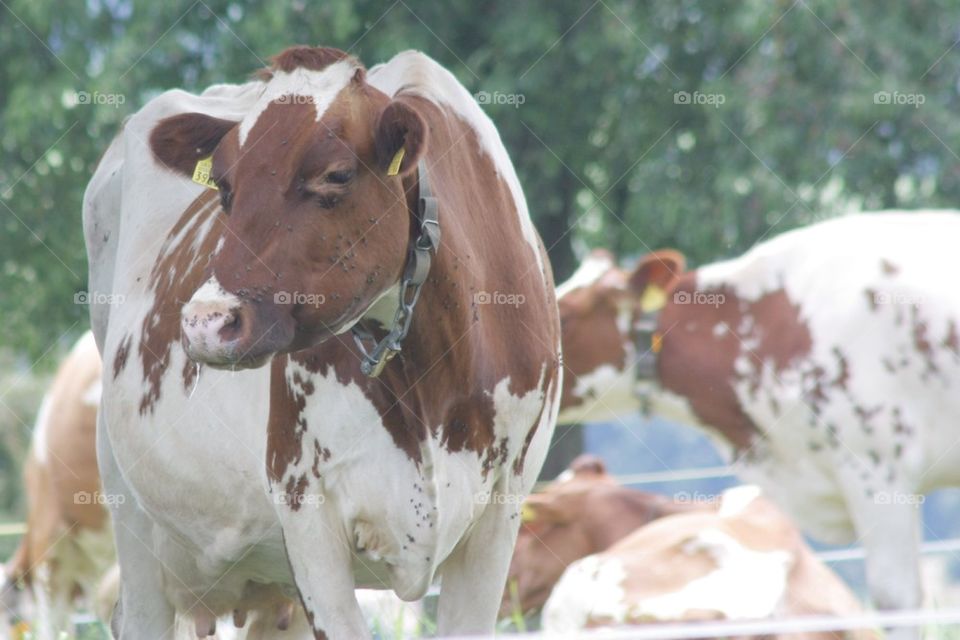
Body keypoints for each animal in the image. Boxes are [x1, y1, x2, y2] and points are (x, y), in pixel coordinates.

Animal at [83, 45, 561, 639]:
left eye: (336, 175)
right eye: (223, 185)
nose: (206, 322)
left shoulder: (501, 509)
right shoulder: (304, 507)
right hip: (132, 521)